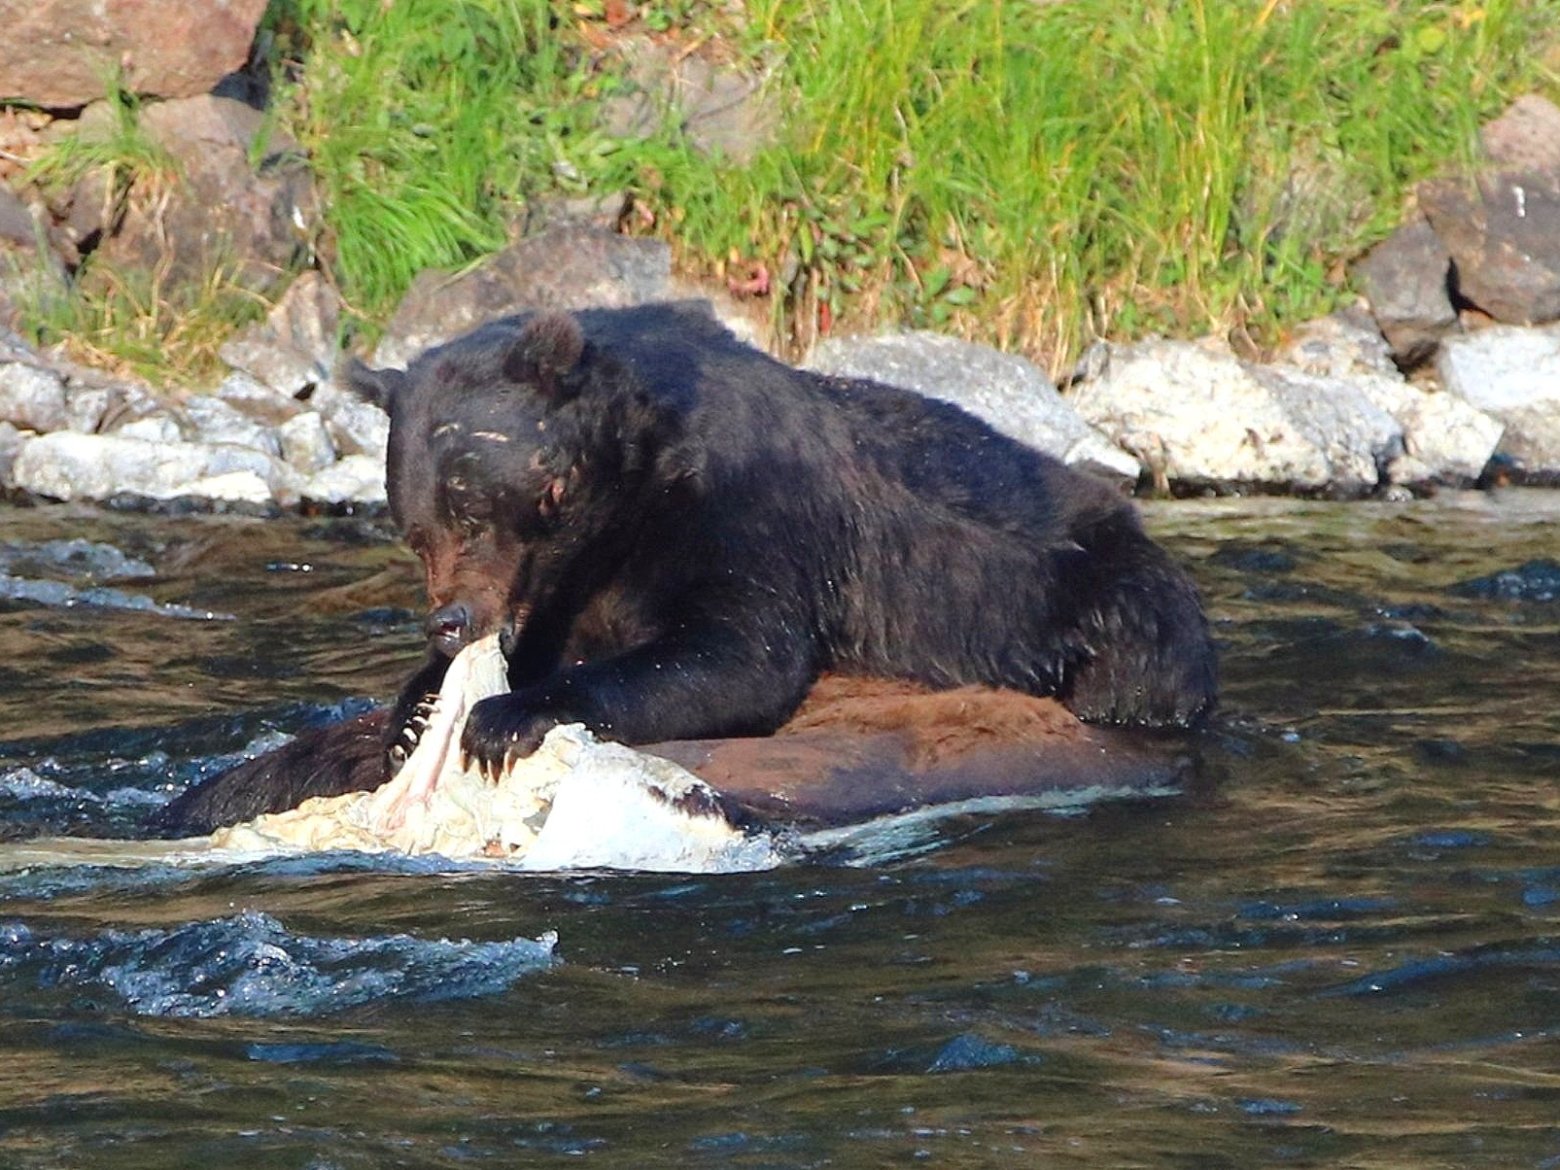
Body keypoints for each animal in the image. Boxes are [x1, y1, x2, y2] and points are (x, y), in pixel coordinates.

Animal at [153, 300, 1215, 835]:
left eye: (472, 506)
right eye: (411, 528)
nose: (448, 622)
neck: (622, 504)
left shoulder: (750, 511)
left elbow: (732, 651)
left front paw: (502, 716)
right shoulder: (574, 583)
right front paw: (420, 706)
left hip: (1105, 600)